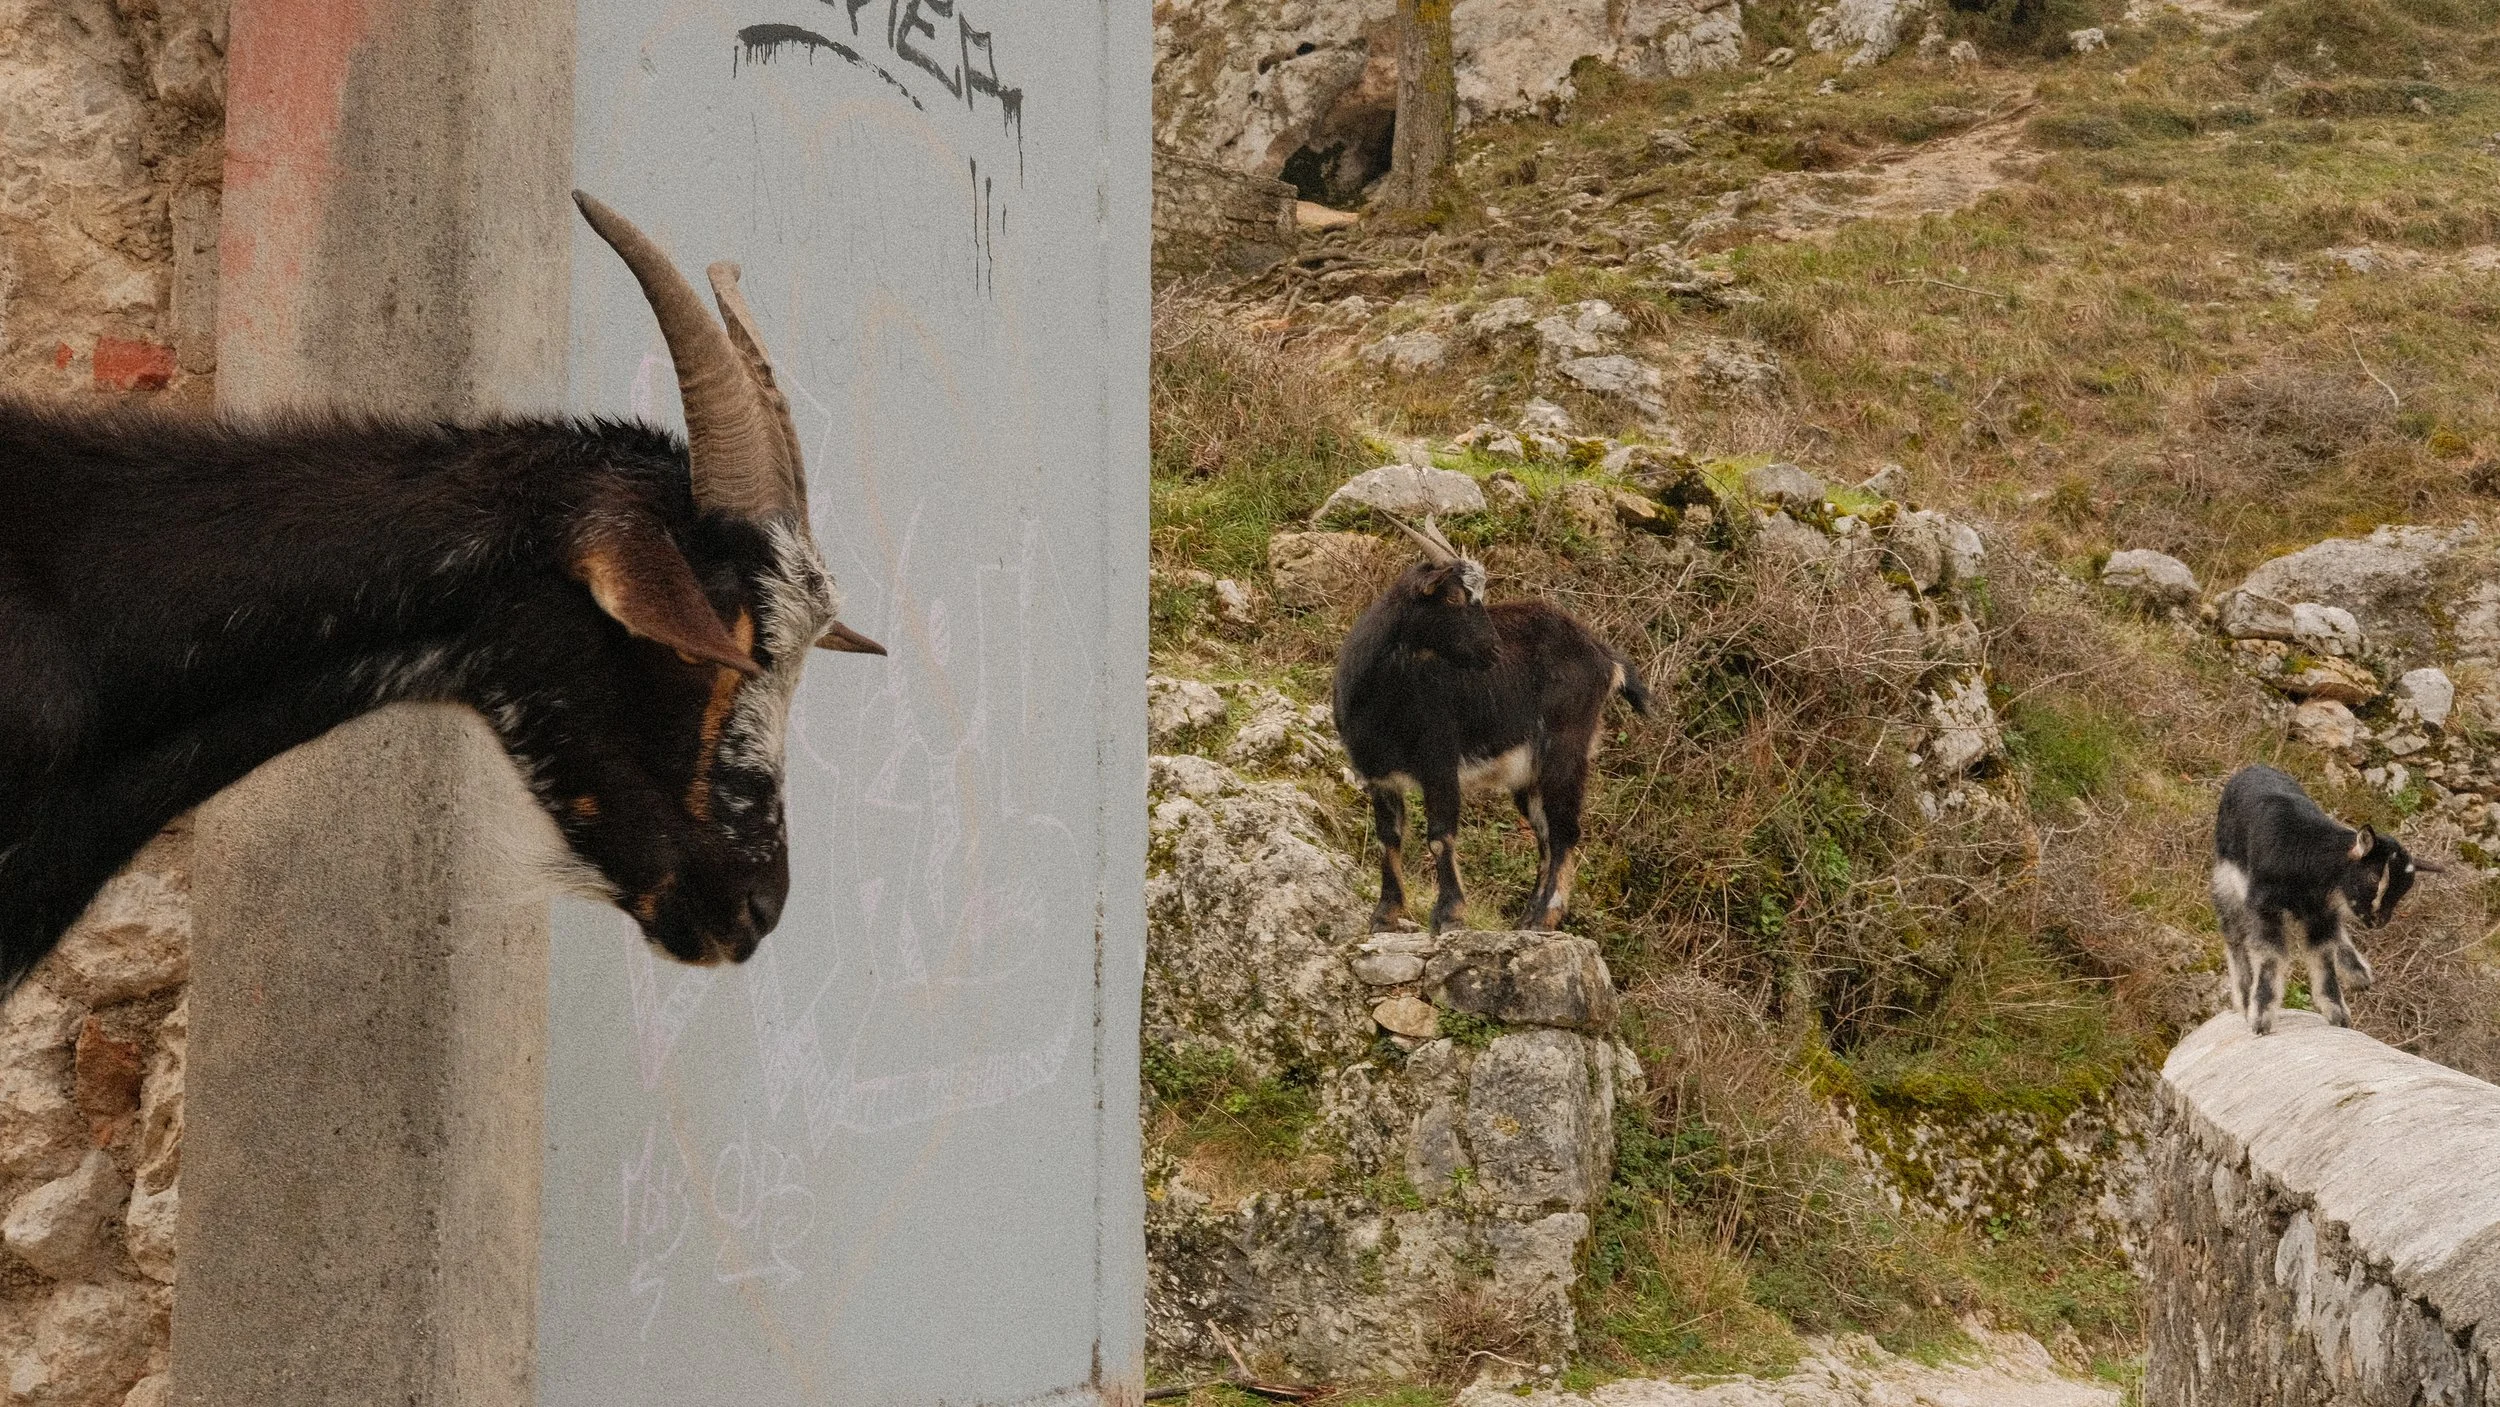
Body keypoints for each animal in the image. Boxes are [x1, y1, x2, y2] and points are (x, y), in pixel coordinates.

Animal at [1332, 516, 1650, 934]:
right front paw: (1385, 915)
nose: (1494, 650)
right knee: (1545, 833)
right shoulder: (1377, 774)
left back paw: (1544, 917)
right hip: (1529, 774)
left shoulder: (1439, 761)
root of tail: (1604, 656)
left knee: (1564, 830)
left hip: (1565, 749)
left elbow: (1440, 836)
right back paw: (1527, 918)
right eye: (1453, 598)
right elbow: (1389, 838)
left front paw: (1449, 915)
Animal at [2212, 763, 2439, 1034]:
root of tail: (2254, 767)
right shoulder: (2265, 908)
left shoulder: (2320, 914)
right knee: (2234, 939)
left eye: (2403, 892)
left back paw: (2358, 974)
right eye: (2374, 877)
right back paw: (2245, 999)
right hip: (2226, 885)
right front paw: (2260, 1018)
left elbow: (2324, 959)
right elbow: (2269, 958)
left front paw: (2338, 1015)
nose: (2379, 920)